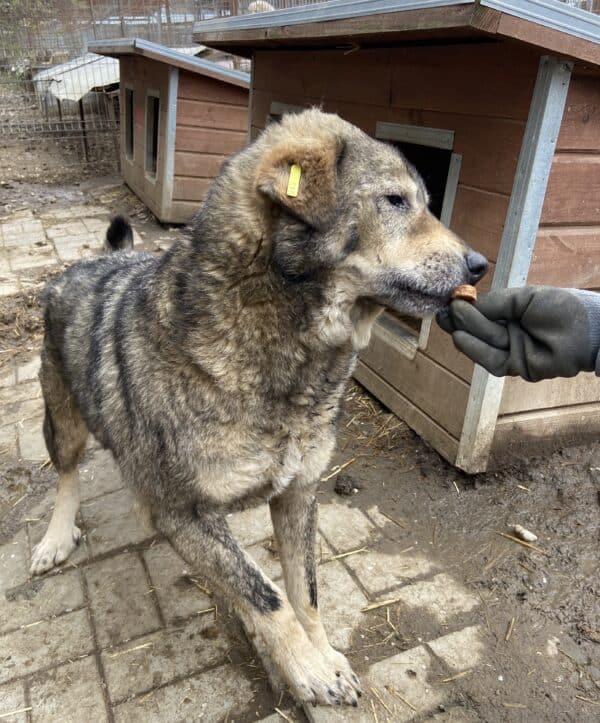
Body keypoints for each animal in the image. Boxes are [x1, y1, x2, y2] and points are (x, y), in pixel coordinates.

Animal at [29, 110, 488, 708]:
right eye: (394, 200)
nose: (480, 265)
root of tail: (92, 263)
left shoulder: (299, 492)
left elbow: (305, 593)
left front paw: (322, 655)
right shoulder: (181, 514)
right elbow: (265, 594)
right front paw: (309, 669)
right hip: (62, 420)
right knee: (66, 474)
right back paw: (56, 537)